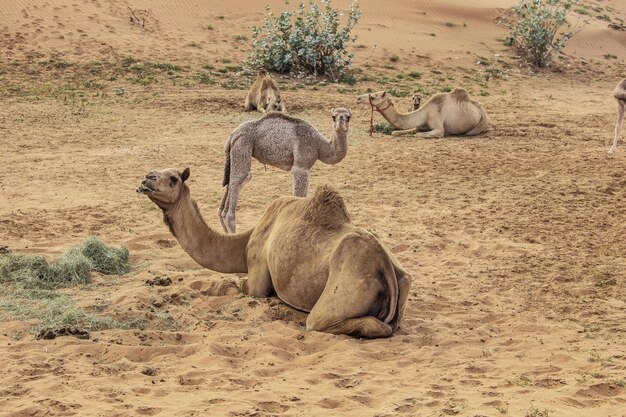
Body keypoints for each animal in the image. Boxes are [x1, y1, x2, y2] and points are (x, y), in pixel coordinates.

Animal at [136, 167, 410, 338]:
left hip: (339, 293)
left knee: (328, 322)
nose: (146, 179)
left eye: (173, 178)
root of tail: (384, 264)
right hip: (403, 277)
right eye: (154, 173)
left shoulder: (257, 274)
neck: (244, 242)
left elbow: (242, 287)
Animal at [218, 107, 352, 232]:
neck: (320, 146)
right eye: (333, 117)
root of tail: (232, 135)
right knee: (240, 179)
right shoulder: (301, 165)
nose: (340, 124)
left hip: (234, 152)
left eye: (348, 117)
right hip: (243, 144)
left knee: (229, 183)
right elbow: (299, 194)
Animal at [356, 88, 488, 137]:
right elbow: (395, 132)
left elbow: (418, 135)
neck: (425, 113)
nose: (357, 98)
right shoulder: (419, 126)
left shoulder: (438, 128)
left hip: (481, 124)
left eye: (373, 97)